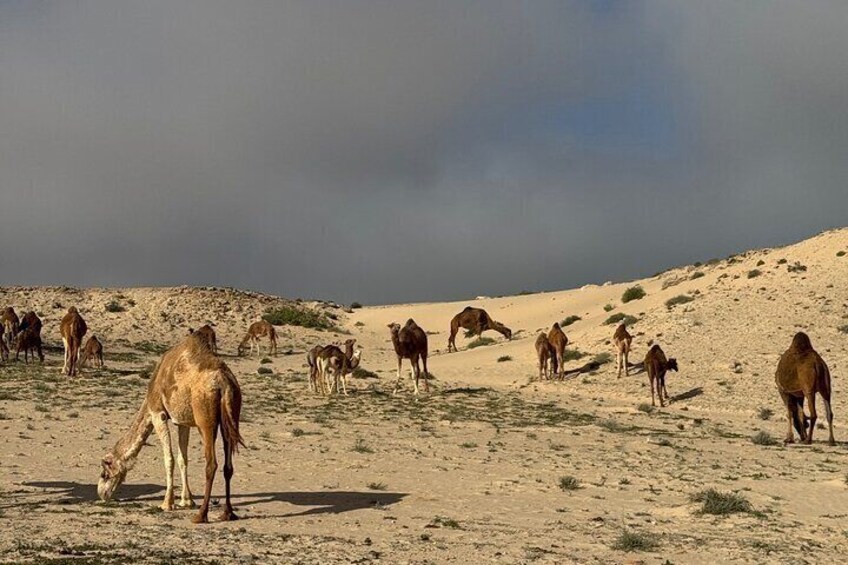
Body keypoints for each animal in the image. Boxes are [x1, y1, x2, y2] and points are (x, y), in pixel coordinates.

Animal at [97, 333, 244, 523]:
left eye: (105, 473)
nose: (101, 494)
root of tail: (223, 382)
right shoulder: (182, 422)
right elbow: (183, 459)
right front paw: (187, 501)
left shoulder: (157, 413)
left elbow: (169, 459)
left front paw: (167, 503)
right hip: (232, 415)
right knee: (228, 465)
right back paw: (228, 513)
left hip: (205, 420)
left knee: (211, 464)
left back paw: (201, 515)